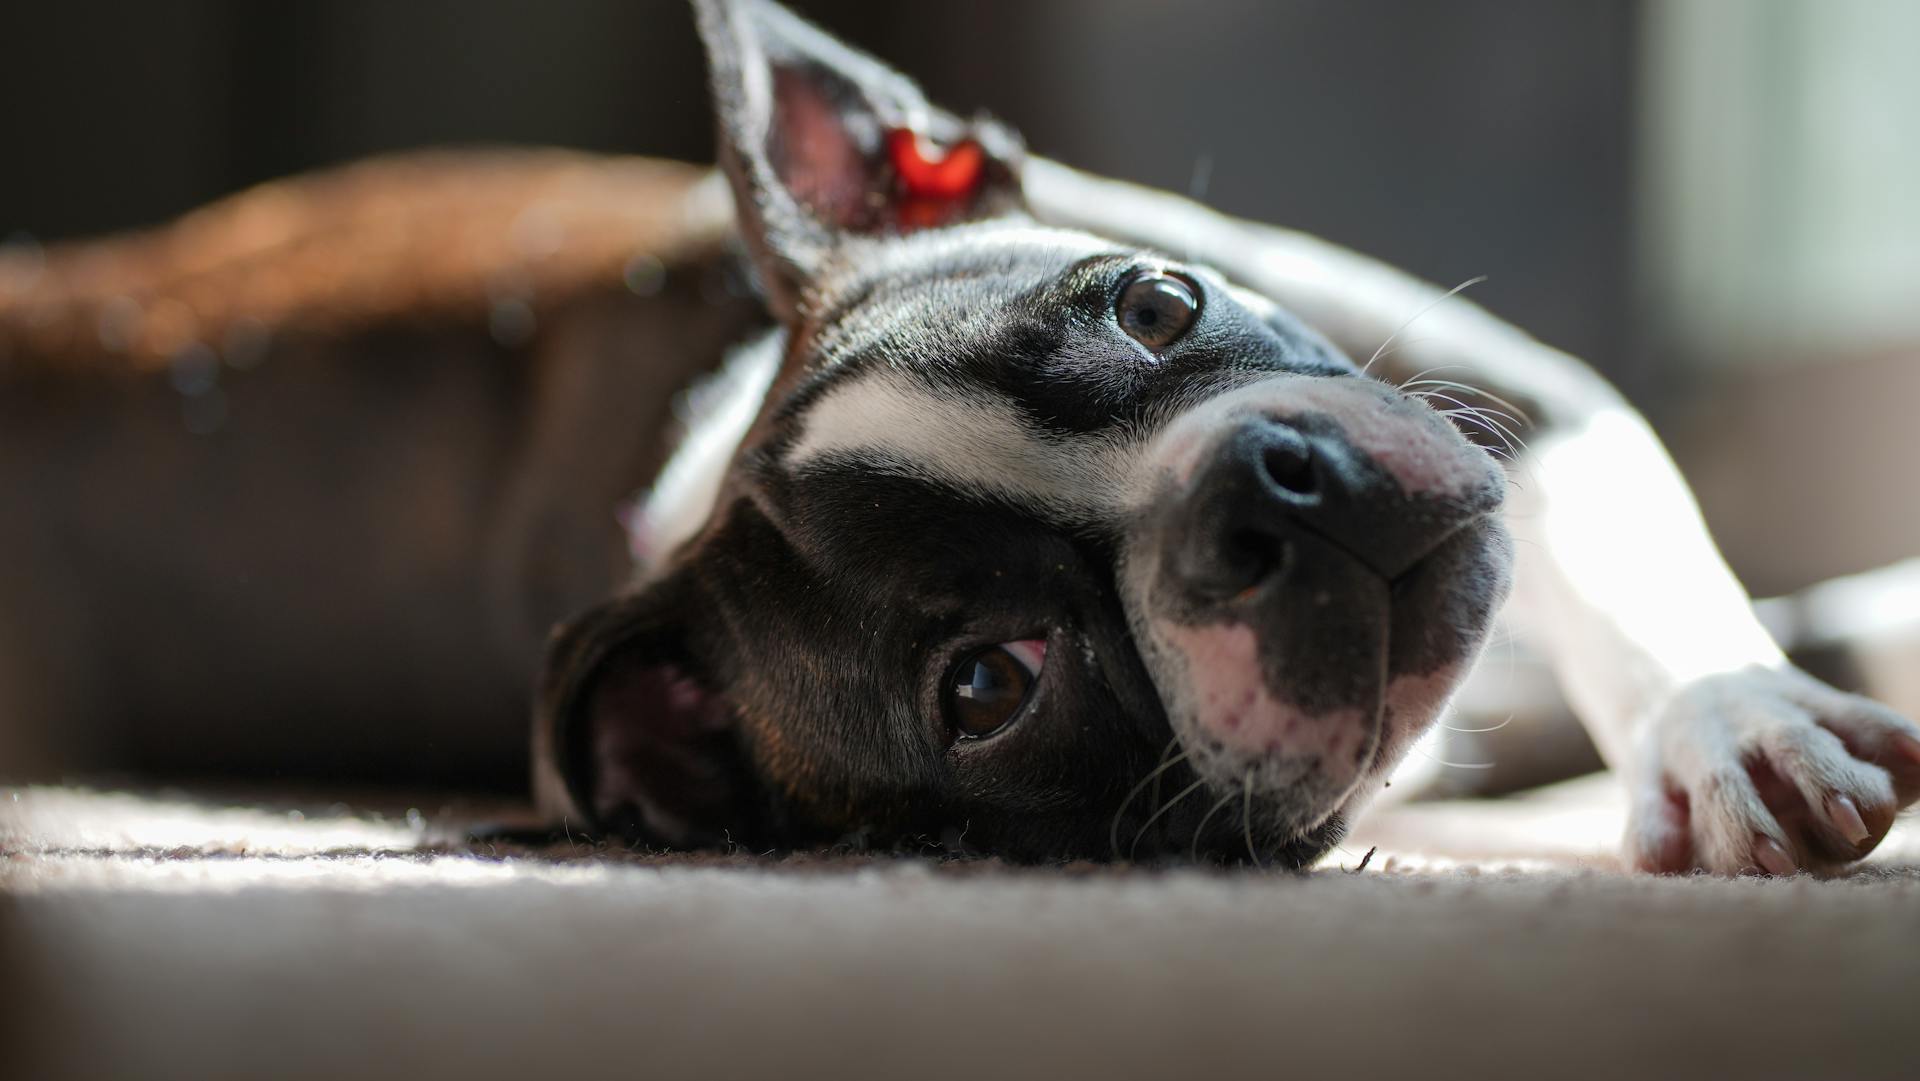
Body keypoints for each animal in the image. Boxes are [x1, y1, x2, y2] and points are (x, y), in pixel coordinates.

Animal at [3, 0, 1920, 875]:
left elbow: (1660, 586)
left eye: (1154, 303)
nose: (1274, 495)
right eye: (991, 686)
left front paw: (1733, 728)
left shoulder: (1519, 402)